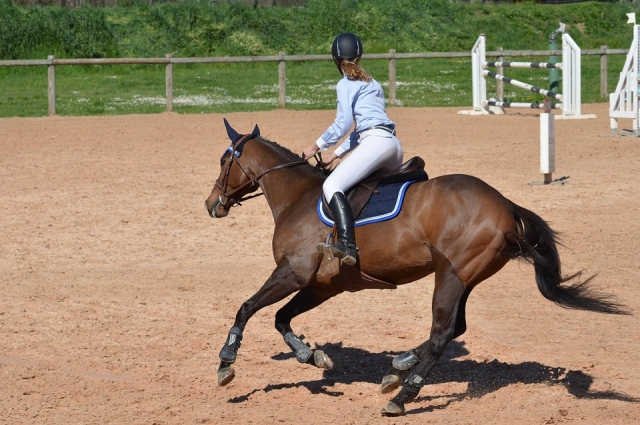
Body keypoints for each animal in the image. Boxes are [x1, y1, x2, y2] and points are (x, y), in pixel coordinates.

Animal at [204, 120, 628, 416]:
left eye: (225, 160)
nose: (211, 205)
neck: (299, 197)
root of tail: (505, 204)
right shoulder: (323, 285)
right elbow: (281, 318)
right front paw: (311, 355)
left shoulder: (293, 272)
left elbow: (247, 308)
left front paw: (226, 362)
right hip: (464, 277)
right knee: (455, 328)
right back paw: (399, 367)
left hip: (451, 275)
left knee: (442, 333)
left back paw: (404, 394)